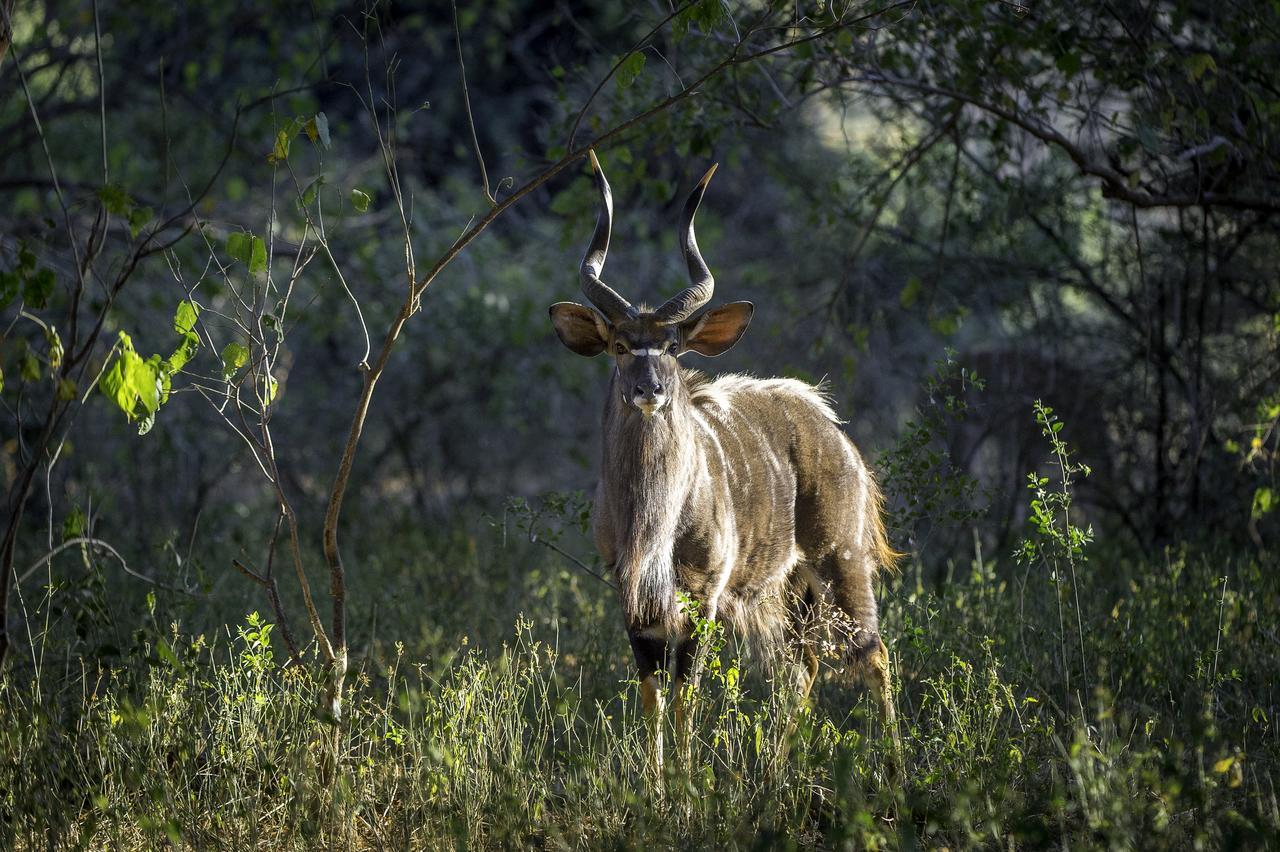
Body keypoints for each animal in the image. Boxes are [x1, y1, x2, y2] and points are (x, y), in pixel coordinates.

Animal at [550, 149, 901, 767]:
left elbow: (685, 697)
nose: (649, 390)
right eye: (619, 346)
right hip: (789, 590)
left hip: (841, 559)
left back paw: (897, 770)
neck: (655, 519)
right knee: (804, 667)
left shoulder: (703, 596)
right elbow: (652, 699)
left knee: (874, 654)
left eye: (672, 346)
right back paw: (777, 771)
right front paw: (655, 782)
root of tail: (836, 433)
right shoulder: (633, 600)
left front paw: (685, 785)